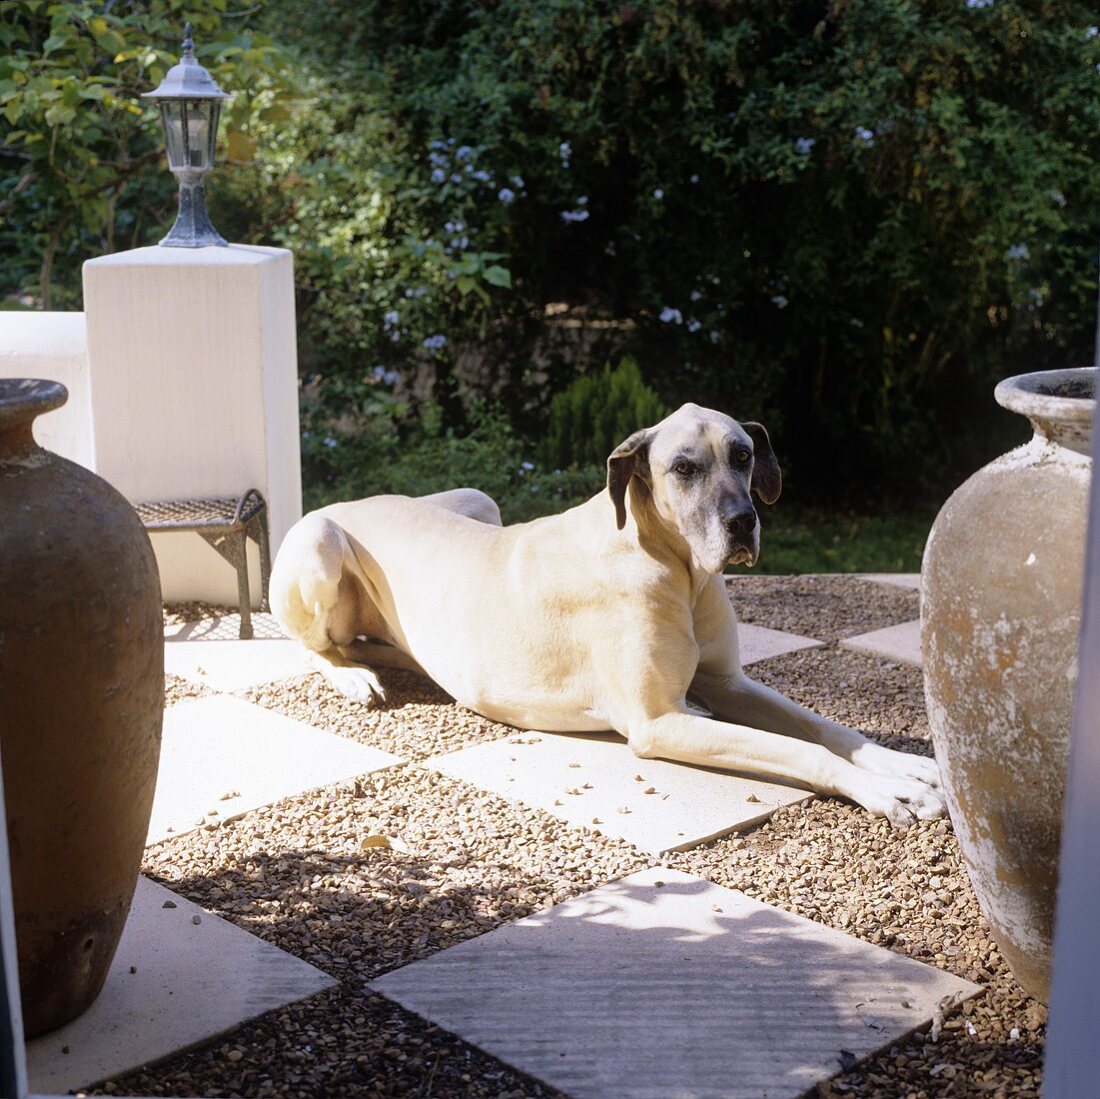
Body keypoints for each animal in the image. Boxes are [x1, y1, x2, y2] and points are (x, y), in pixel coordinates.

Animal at [275, 402, 946, 827]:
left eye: (744, 455)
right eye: (684, 468)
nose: (742, 522)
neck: (678, 569)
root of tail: (344, 500)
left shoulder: (730, 682)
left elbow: (831, 730)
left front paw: (905, 764)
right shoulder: (658, 722)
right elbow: (805, 751)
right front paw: (886, 790)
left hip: (479, 500)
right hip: (321, 540)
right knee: (317, 645)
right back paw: (353, 675)